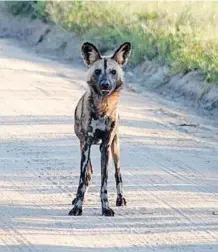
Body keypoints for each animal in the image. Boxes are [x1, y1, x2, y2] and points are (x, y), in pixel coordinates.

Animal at [69, 41, 132, 217]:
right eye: (97, 71)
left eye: (113, 72)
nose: (105, 84)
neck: (103, 107)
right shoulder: (86, 144)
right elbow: (82, 179)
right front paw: (77, 207)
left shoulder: (105, 146)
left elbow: (105, 181)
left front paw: (106, 208)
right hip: (83, 146)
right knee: (88, 173)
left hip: (115, 148)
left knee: (118, 174)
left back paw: (120, 198)